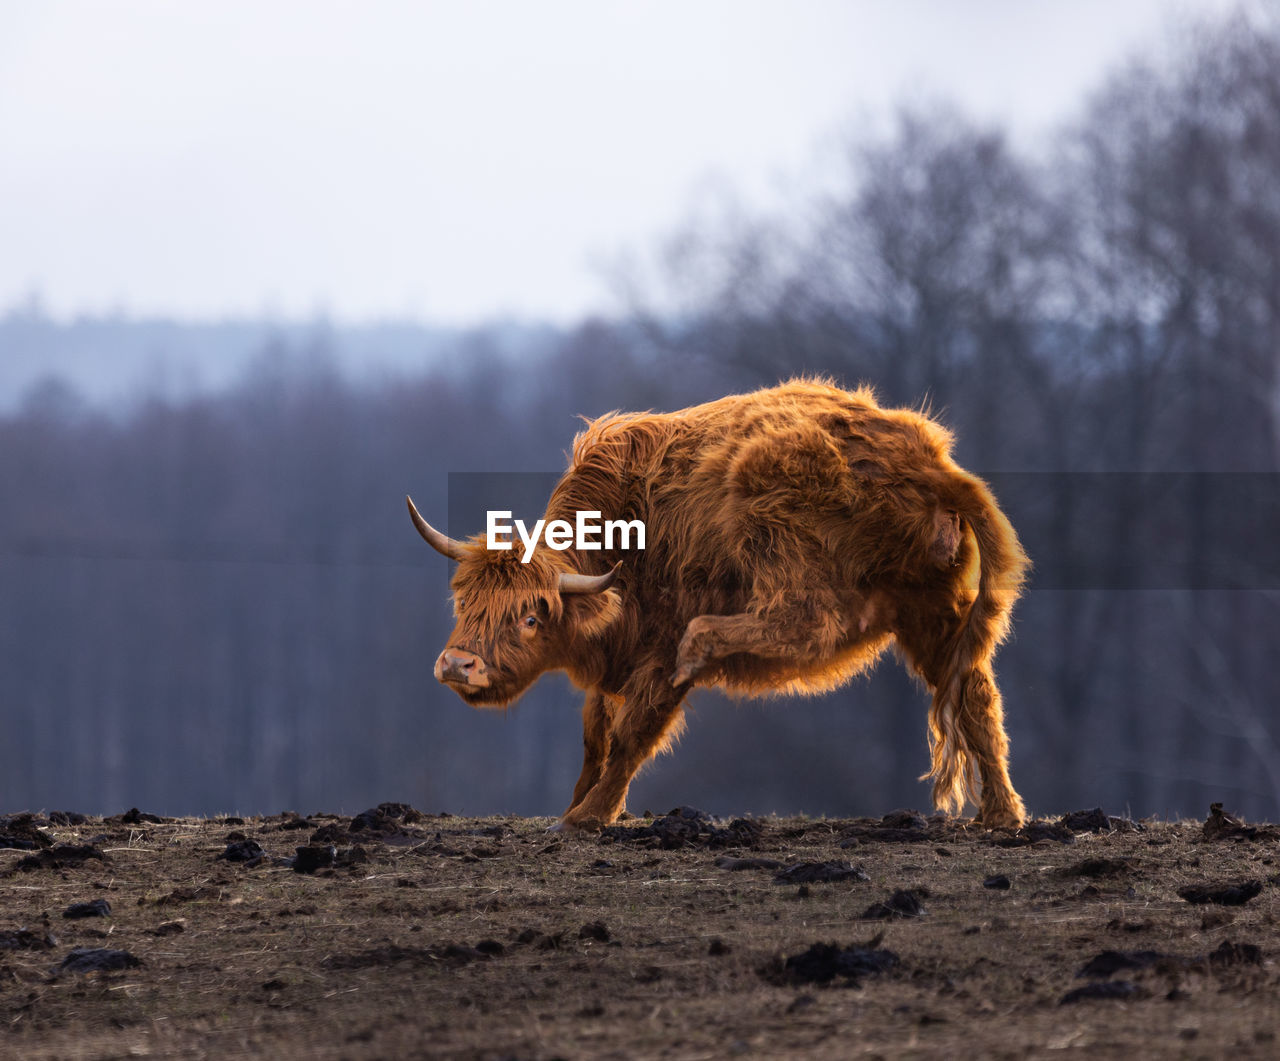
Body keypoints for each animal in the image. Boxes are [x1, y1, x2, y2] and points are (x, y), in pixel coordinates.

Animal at [409, 376, 1029, 834]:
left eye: (530, 617)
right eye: (463, 604)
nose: (457, 665)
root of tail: (930, 460)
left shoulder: (654, 656)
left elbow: (633, 734)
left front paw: (588, 816)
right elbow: (595, 737)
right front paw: (576, 805)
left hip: (779, 537)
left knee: (807, 623)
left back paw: (701, 642)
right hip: (930, 608)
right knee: (975, 692)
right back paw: (1002, 813)